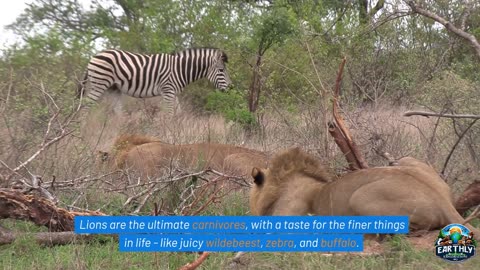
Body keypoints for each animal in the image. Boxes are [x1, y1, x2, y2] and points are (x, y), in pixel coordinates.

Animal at [78, 47, 232, 114]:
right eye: (221, 71)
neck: (180, 69)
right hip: (99, 84)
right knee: (85, 106)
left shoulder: (173, 93)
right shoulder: (168, 91)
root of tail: (93, 56)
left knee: (117, 111)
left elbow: (178, 112)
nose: (231, 88)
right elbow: (169, 114)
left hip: (113, 88)